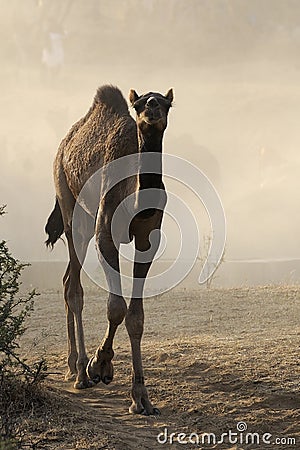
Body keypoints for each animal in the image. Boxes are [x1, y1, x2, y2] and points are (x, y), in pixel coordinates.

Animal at [45, 84, 175, 414]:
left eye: (167, 103)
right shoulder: (106, 233)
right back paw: (80, 372)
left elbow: (136, 316)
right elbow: (116, 307)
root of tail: (64, 144)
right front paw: (99, 364)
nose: (152, 107)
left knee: (67, 278)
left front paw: (141, 398)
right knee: (73, 286)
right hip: (70, 207)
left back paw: (70, 366)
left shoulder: (148, 239)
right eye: (139, 104)